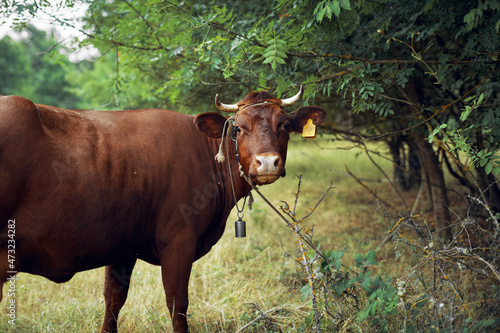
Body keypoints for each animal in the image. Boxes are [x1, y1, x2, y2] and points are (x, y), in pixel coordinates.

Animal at [0, 87, 326, 330]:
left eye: (284, 125)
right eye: (238, 129)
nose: (267, 162)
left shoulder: (122, 245)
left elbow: (113, 300)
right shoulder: (179, 242)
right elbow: (177, 304)